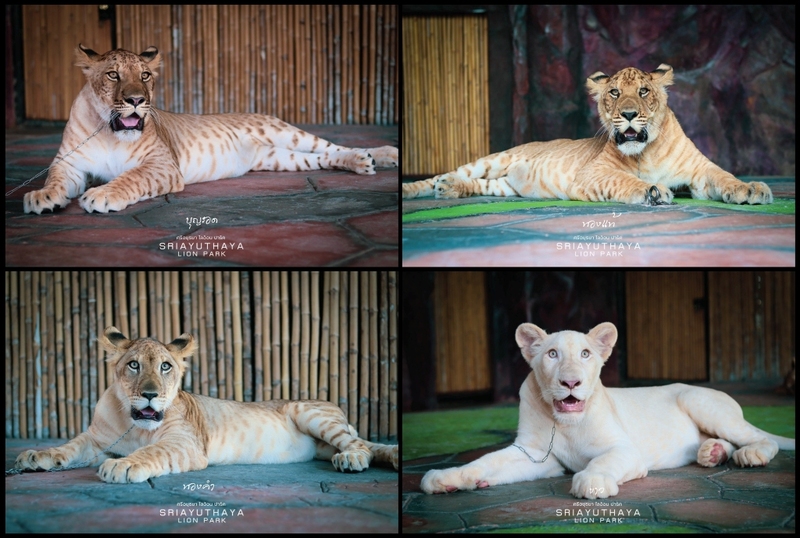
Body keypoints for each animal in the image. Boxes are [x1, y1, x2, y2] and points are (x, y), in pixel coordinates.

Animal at [14, 327, 398, 483]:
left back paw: (352, 460)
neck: (135, 422)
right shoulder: (96, 440)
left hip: (310, 413)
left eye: (165, 366)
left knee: (361, 445)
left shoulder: (185, 443)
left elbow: (151, 452)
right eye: (134, 365)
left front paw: (124, 466)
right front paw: (35, 456)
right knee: (370, 446)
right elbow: (67, 448)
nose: (151, 394)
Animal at [22, 44, 398, 214]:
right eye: (113, 75)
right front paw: (43, 197)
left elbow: (131, 177)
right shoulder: (70, 163)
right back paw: (365, 160)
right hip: (280, 158)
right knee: (319, 158)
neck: (110, 130)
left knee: (333, 147)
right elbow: (55, 178)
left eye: (145, 75)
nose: (136, 100)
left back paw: (376, 156)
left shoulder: (163, 165)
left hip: (286, 132)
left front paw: (102, 195)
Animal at [402, 64, 772, 206]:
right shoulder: (592, 172)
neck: (648, 150)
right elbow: (624, 180)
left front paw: (751, 189)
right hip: (497, 158)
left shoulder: (699, 171)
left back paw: (452, 189)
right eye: (614, 93)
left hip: (504, 187)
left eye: (643, 92)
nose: (627, 114)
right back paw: (426, 187)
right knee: (452, 173)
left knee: (482, 186)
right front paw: (652, 191)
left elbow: (723, 176)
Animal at [420, 322, 795, 499]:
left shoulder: (625, 449)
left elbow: (603, 461)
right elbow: (485, 461)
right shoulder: (536, 454)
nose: (571, 382)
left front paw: (593, 481)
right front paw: (446, 477)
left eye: (585, 354)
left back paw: (749, 455)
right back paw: (712, 452)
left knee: (760, 437)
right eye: (553, 354)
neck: (564, 424)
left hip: (700, 402)